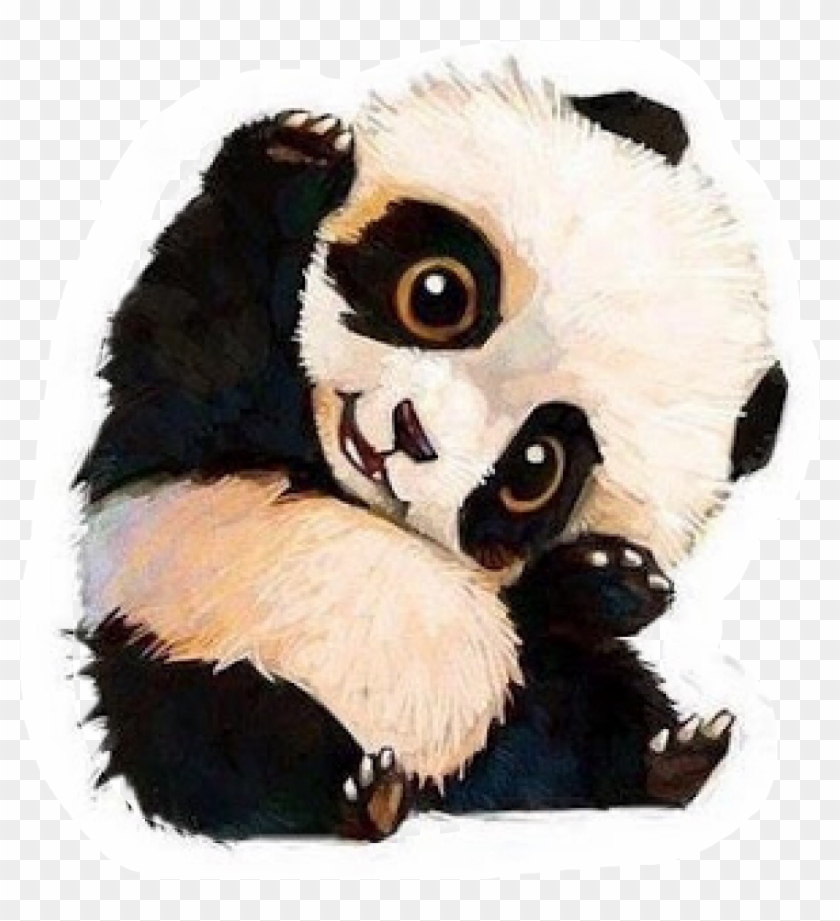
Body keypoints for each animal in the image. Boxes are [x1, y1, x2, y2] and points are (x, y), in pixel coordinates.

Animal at [75, 66, 788, 842]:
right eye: (438, 294)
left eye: (536, 468)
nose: (410, 431)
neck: (340, 478)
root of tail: (427, 771)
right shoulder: (172, 444)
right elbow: (190, 340)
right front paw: (294, 155)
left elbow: (541, 612)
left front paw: (617, 579)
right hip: (176, 643)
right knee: (215, 740)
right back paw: (354, 796)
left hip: (505, 703)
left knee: (571, 718)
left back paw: (670, 755)